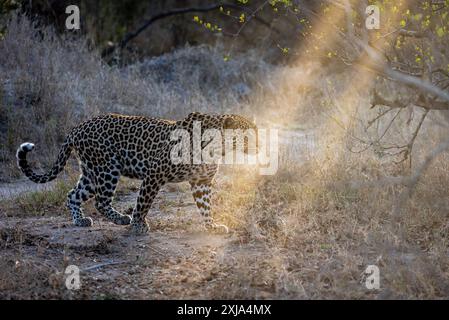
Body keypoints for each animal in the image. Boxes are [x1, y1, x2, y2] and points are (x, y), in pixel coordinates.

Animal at [16, 112, 256, 232]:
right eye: (246, 134)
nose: (260, 143)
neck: (217, 147)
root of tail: (76, 128)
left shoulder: (202, 181)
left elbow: (205, 206)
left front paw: (212, 226)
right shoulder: (154, 174)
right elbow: (143, 202)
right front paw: (138, 224)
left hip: (92, 172)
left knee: (73, 195)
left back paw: (80, 221)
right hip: (107, 168)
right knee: (101, 201)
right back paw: (122, 219)